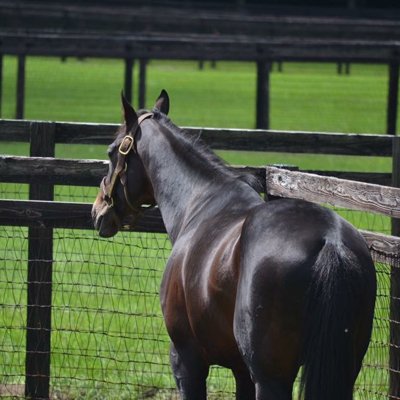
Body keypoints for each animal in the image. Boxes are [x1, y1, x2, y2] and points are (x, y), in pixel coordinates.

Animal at [92, 90, 376, 400]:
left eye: (111, 151)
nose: (97, 210)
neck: (199, 203)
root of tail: (329, 241)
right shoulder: (241, 371)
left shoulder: (186, 361)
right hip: (343, 369)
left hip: (271, 378)